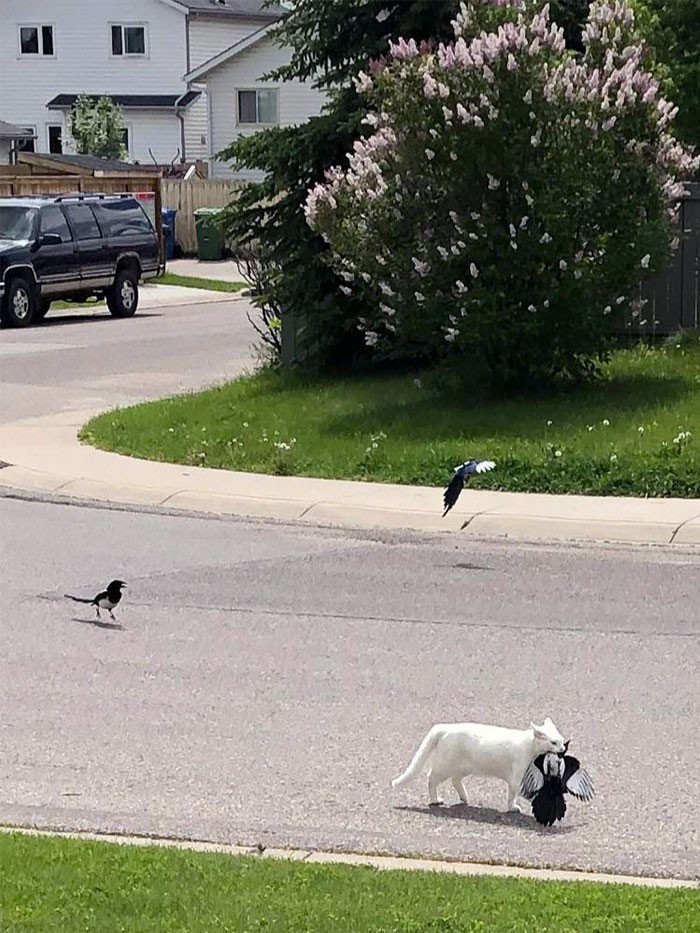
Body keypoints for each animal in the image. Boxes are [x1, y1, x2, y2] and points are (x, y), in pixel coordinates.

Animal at [392, 716, 568, 812]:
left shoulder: (517, 779)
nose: (562, 749)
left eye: (561, 741)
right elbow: (522, 793)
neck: (530, 747)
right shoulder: (516, 778)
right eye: (553, 742)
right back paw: (436, 800)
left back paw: (464, 797)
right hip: (445, 766)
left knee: (455, 780)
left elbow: (516, 794)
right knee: (431, 778)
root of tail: (444, 727)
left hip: (464, 767)